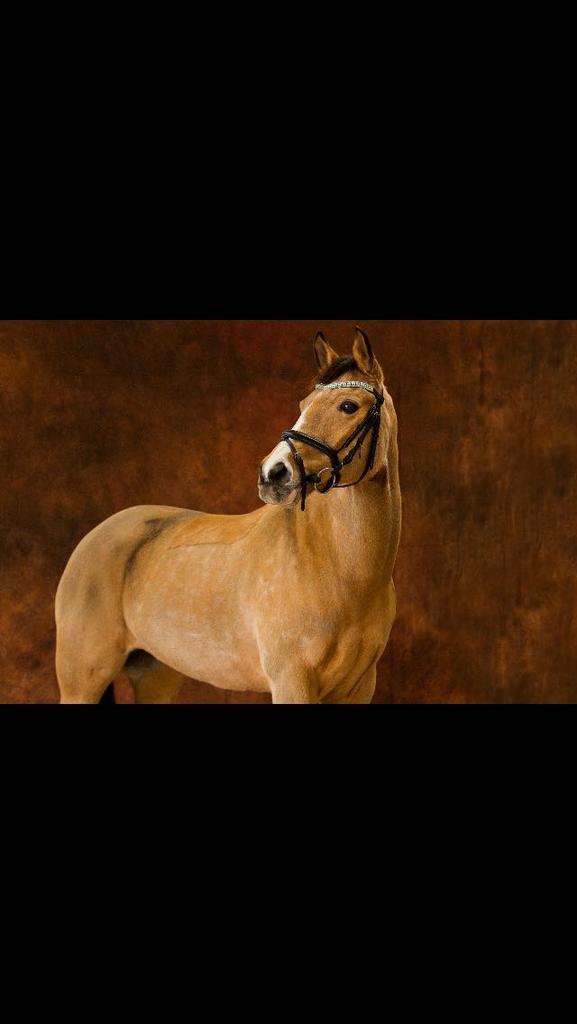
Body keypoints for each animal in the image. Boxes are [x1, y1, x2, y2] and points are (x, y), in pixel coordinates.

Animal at [55, 326, 401, 704]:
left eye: (348, 406)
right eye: (303, 405)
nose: (273, 473)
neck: (336, 568)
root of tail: (94, 537)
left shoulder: (359, 687)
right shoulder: (291, 682)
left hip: (155, 674)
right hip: (81, 682)